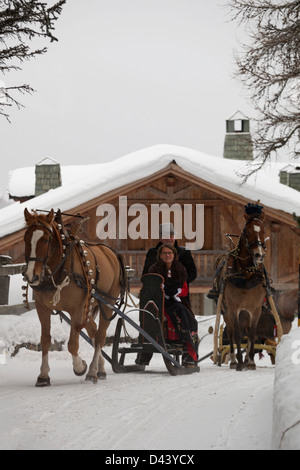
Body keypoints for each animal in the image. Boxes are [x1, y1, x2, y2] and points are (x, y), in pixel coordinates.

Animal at [23, 209, 125, 386]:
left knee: (100, 336)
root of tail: (112, 253)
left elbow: (72, 344)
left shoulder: (77, 309)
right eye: (25, 238)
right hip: (89, 307)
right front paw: (43, 375)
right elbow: (45, 340)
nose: (31, 276)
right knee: (94, 332)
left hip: (107, 303)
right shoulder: (43, 308)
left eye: (46, 239)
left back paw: (92, 371)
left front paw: (80, 366)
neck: (60, 270)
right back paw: (101, 368)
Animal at [216, 202, 268, 370]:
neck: (246, 276)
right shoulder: (233, 309)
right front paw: (238, 361)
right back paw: (234, 360)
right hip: (226, 311)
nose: (259, 255)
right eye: (247, 231)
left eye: (263, 230)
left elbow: (251, 333)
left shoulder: (255, 309)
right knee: (231, 332)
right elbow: (237, 334)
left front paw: (250, 361)